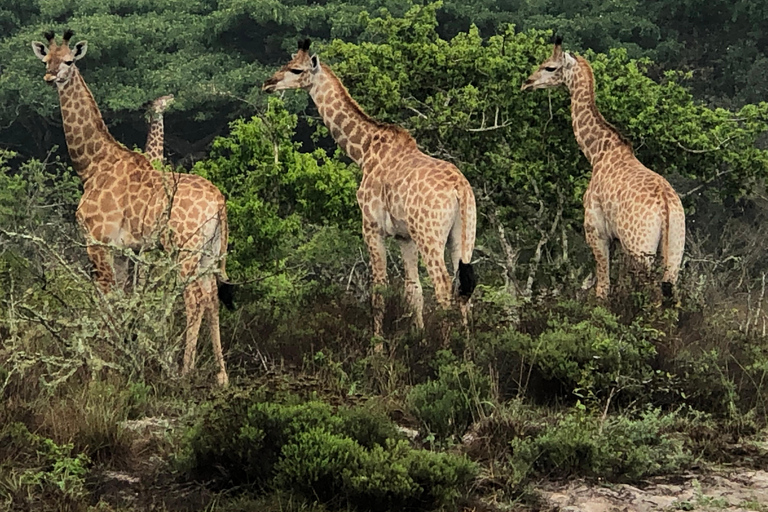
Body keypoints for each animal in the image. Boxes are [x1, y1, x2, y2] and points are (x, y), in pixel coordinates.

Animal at [31, 30, 234, 386]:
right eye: (46, 60)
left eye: (68, 61)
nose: (50, 76)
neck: (92, 164)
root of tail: (220, 202)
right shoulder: (128, 249)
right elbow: (126, 300)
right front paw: (127, 354)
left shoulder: (98, 240)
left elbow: (107, 299)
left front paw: (104, 365)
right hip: (209, 250)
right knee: (211, 296)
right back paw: (221, 377)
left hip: (185, 248)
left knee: (194, 298)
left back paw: (184, 371)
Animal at [262, 39, 474, 336]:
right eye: (287, 62)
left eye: (296, 69)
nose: (268, 84)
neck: (363, 150)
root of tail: (459, 189)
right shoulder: (404, 236)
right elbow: (414, 291)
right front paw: (419, 339)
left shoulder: (372, 227)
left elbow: (379, 290)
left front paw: (377, 345)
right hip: (463, 234)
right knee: (464, 289)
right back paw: (465, 346)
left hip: (429, 235)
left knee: (444, 287)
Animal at [520, 38, 688, 300]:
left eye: (549, 67)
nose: (526, 83)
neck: (598, 152)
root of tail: (666, 208)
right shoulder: (618, 241)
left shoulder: (597, 231)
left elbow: (602, 288)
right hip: (674, 251)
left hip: (641, 250)